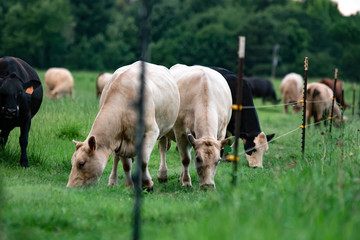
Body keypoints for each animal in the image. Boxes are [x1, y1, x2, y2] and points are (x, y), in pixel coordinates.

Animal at [66, 61, 181, 190]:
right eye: (72, 162)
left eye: (81, 163)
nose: (70, 186)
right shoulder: (120, 140)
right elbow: (126, 165)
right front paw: (130, 185)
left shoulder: (151, 132)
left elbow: (143, 162)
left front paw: (147, 184)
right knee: (117, 159)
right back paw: (113, 180)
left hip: (164, 128)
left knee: (162, 148)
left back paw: (162, 175)